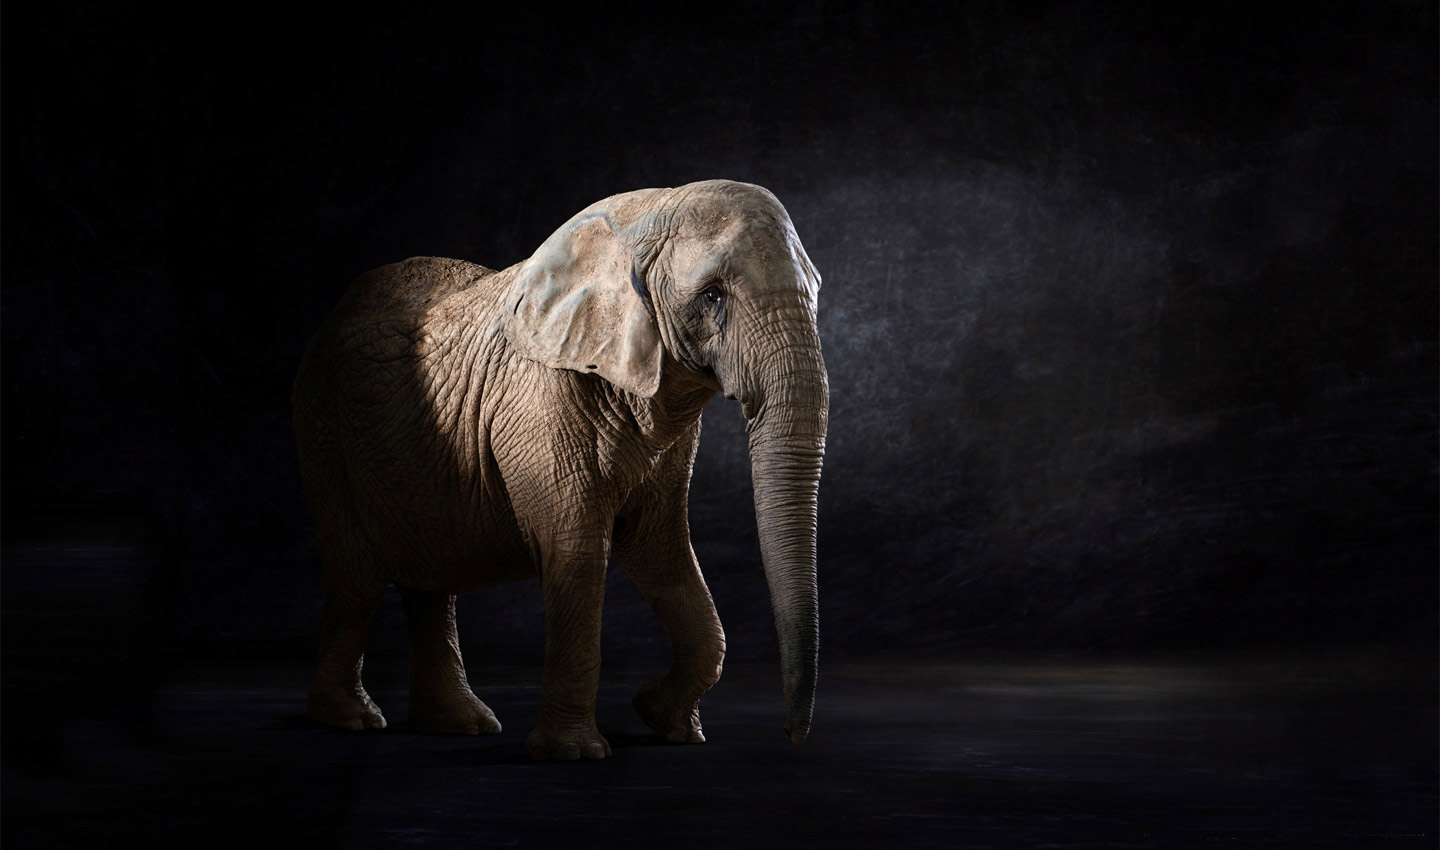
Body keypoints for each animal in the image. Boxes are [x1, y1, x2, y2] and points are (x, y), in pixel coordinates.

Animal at [291, 179, 828, 760]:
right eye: (713, 296)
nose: (792, 737)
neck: (644, 216)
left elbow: (658, 546)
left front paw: (664, 722)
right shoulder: (540, 397)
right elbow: (575, 548)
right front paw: (575, 753)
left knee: (430, 574)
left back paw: (461, 724)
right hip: (323, 428)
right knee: (356, 574)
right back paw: (352, 720)